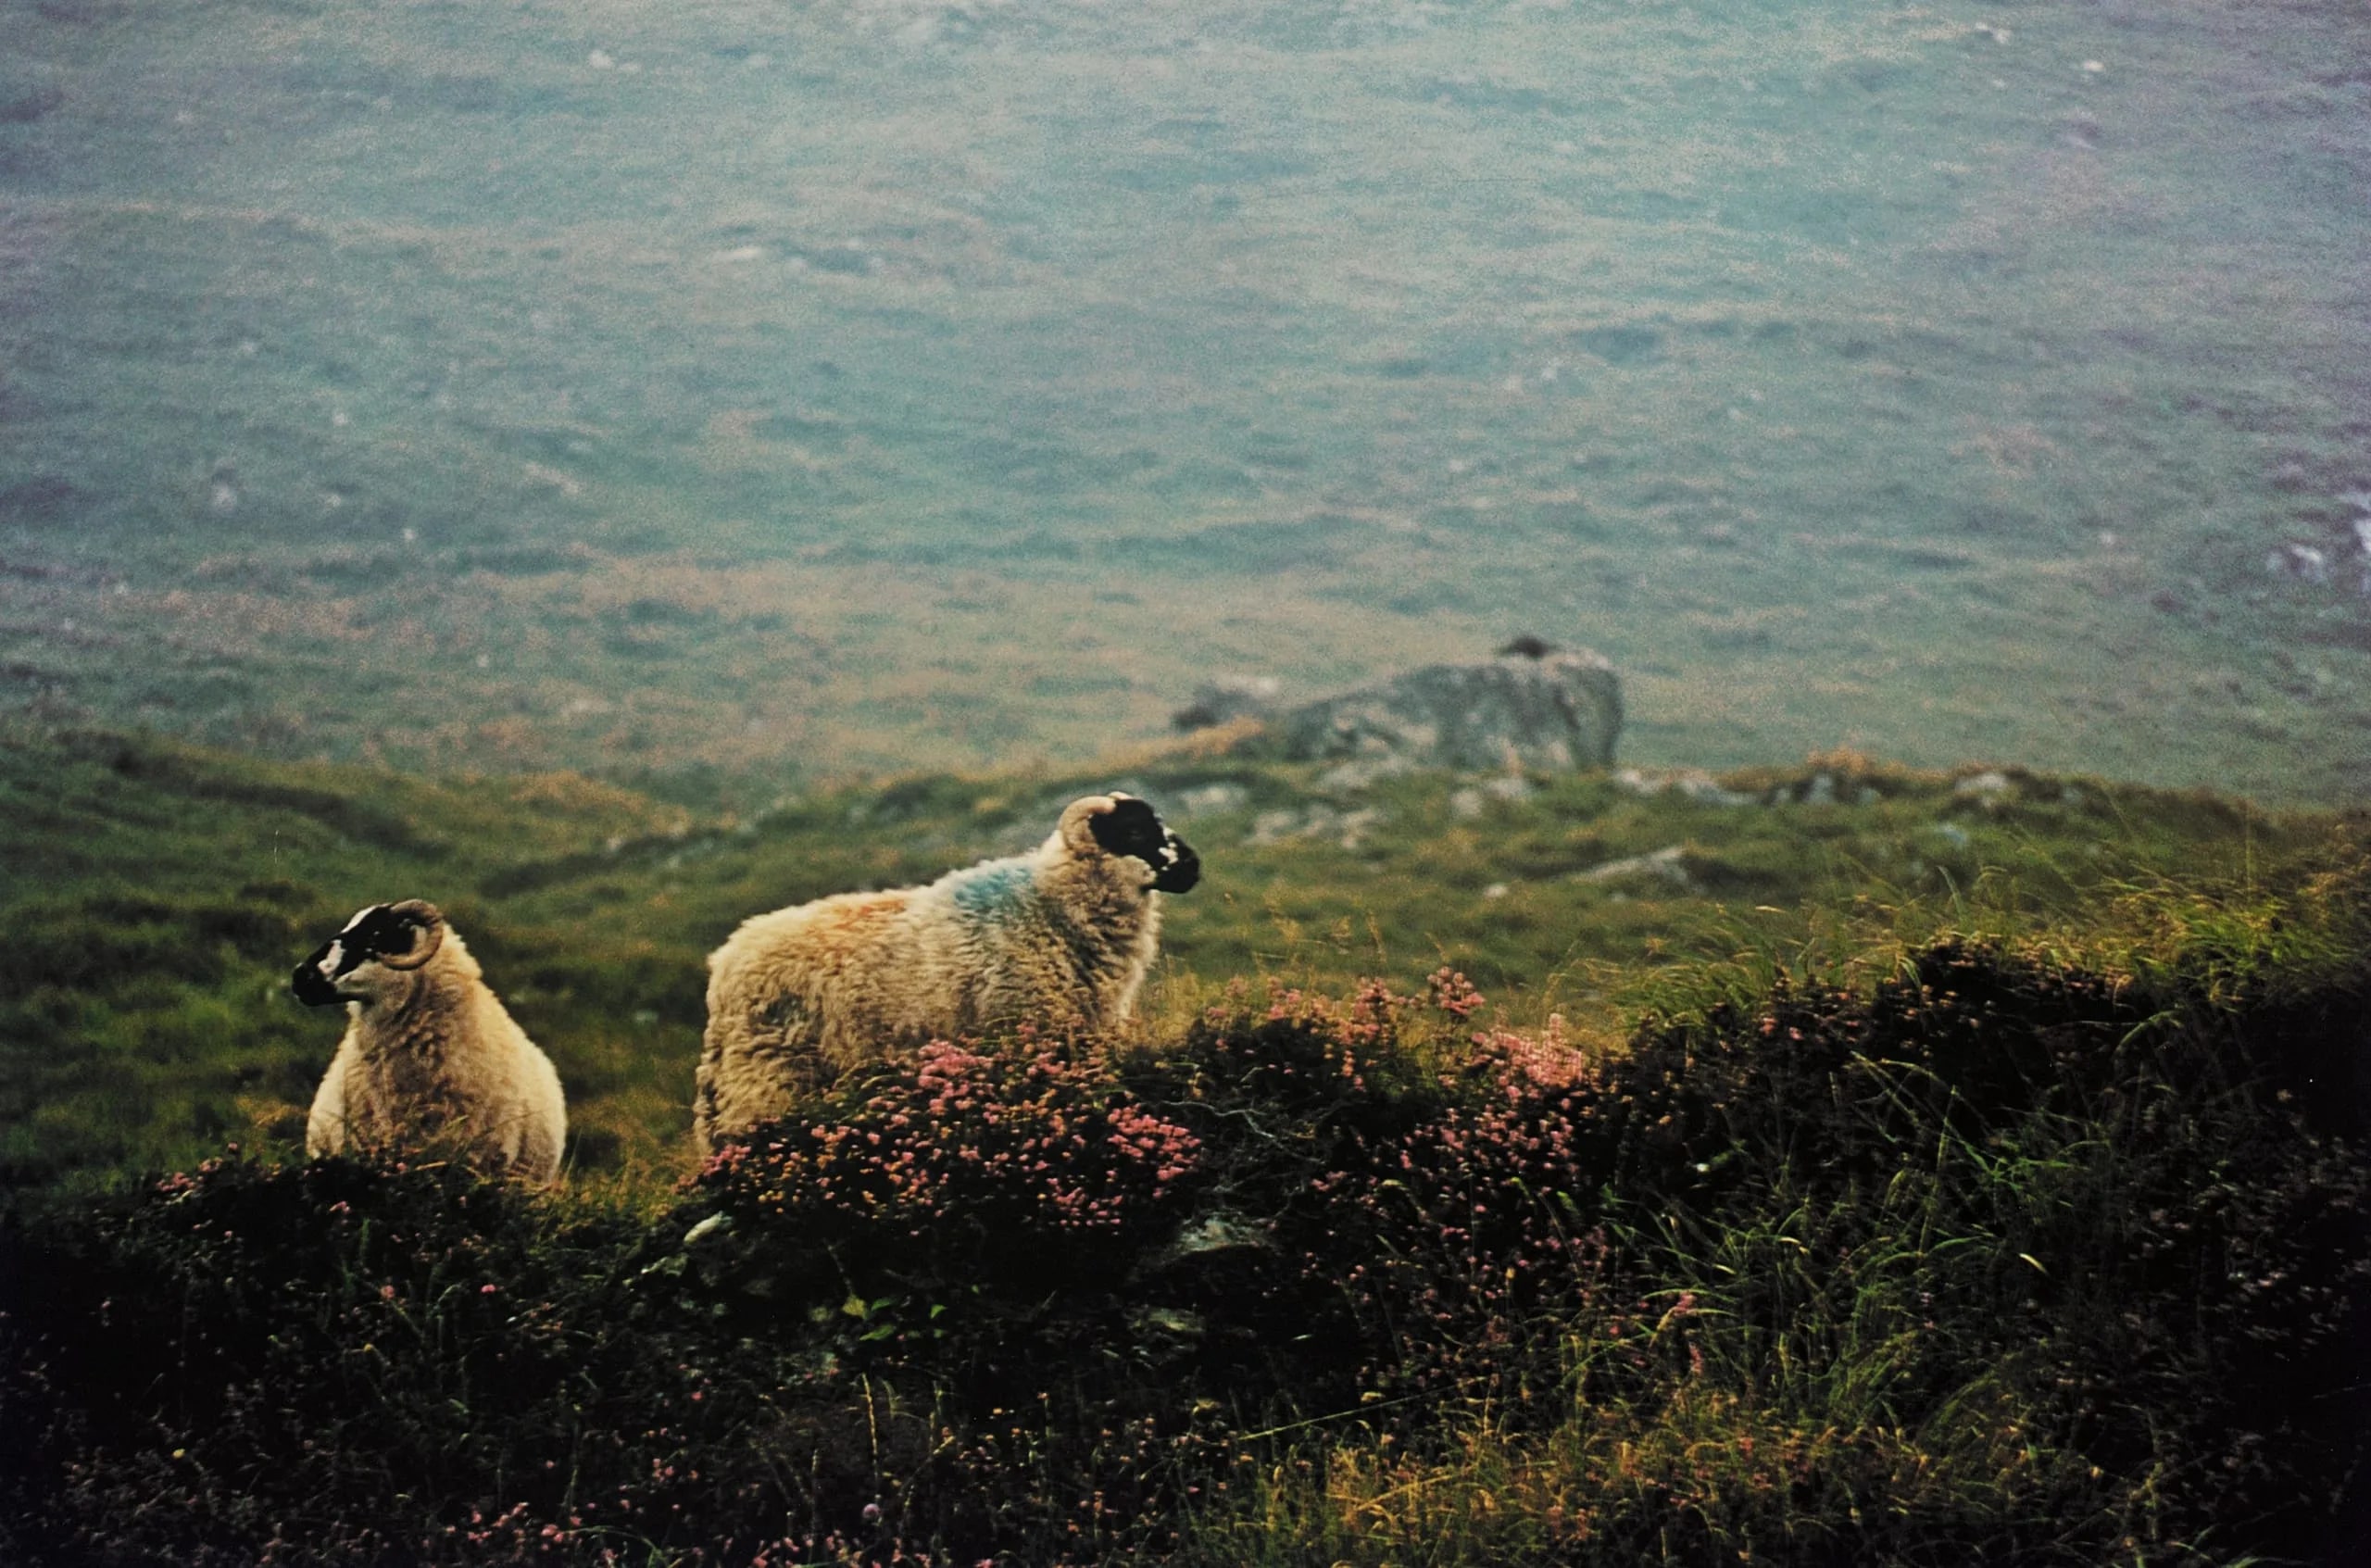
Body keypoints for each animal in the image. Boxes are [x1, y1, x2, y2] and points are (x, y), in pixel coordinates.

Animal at [695, 792, 1200, 1150]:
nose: (1194, 866)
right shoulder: (1022, 1025)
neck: (1048, 904)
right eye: (1133, 831)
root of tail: (724, 965)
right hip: (766, 1073)